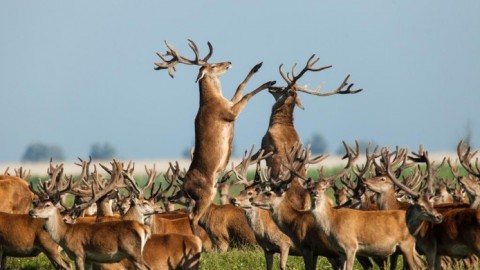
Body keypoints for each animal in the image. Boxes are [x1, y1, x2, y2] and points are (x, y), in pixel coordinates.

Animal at [156, 39, 276, 231]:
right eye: (212, 65)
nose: (228, 62)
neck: (213, 100)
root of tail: (185, 187)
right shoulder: (230, 113)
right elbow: (247, 95)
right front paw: (269, 82)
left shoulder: (230, 103)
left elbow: (240, 86)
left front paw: (257, 67)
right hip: (206, 194)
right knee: (194, 216)